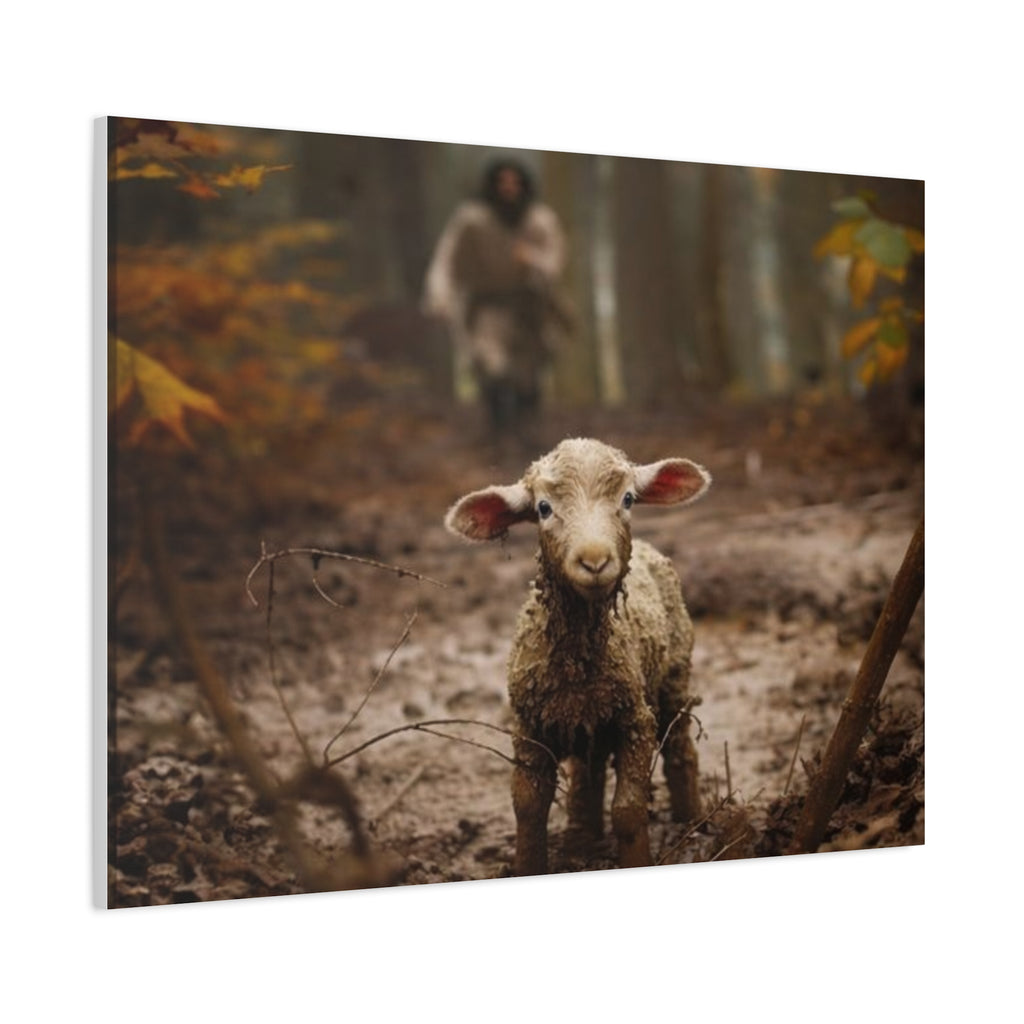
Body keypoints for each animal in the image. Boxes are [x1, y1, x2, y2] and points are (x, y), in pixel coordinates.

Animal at [445, 437, 711, 875]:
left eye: (628, 499)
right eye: (543, 508)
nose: (595, 561)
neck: (577, 662)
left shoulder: (636, 719)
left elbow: (628, 810)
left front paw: (636, 859)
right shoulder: (529, 726)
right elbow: (528, 807)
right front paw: (530, 865)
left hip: (675, 676)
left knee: (680, 750)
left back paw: (693, 823)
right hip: (591, 722)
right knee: (589, 773)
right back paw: (582, 836)